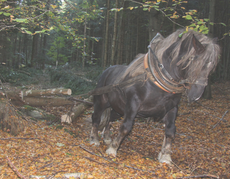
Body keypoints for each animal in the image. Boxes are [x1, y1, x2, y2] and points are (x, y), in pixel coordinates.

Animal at [89, 28, 220, 164]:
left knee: (110, 118)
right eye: (193, 59)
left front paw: (166, 156)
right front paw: (113, 149)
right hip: (101, 102)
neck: (157, 78)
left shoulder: (172, 108)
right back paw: (94, 139)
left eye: (212, 66)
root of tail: (107, 70)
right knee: (96, 118)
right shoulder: (133, 104)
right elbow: (126, 127)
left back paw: (107, 138)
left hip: (118, 108)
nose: (197, 95)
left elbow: (170, 130)